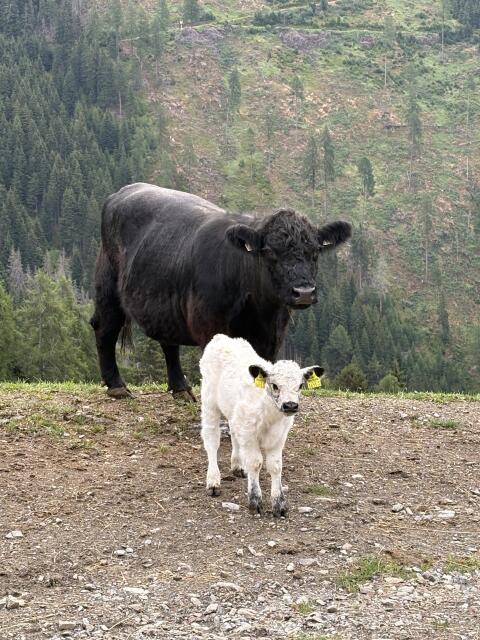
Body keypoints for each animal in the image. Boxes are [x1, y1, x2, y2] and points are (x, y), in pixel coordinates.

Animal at [90, 183, 351, 399]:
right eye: (269, 252)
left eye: (315, 252)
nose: (303, 292)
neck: (255, 308)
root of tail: (121, 192)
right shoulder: (209, 328)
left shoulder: (272, 336)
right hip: (108, 285)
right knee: (105, 328)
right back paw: (117, 386)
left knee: (168, 343)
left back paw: (181, 389)